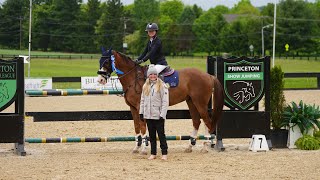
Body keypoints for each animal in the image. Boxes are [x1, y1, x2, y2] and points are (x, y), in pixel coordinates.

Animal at [96, 47, 224, 153]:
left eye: (106, 61)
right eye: (100, 61)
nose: (100, 79)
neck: (133, 78)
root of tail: (209, 75)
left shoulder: (140, 106)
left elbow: (143, 127)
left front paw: (144, 148)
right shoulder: (133, 108)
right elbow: (137, 126)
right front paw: (136, 147)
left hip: (200, 103)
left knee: (207, 121)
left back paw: (205, 147)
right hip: (191, 102)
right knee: (197, 121)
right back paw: (190, 147)